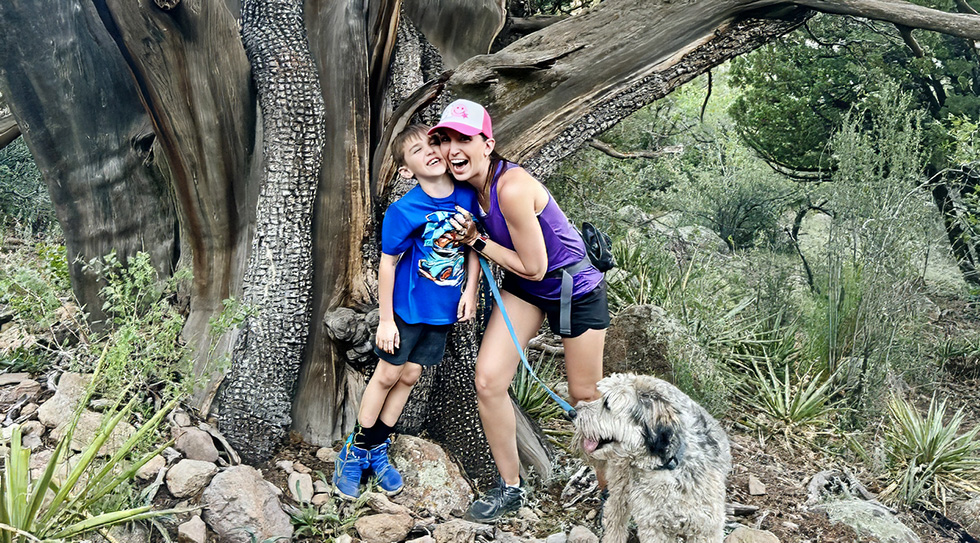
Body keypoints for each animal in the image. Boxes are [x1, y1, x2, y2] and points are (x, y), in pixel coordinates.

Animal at [576, 374, 728, 543]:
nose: (573, 411)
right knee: (615, 513)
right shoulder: (654, 526)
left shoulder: (706, 528)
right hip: (620, 486)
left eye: (607, 404)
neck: (667, 464)